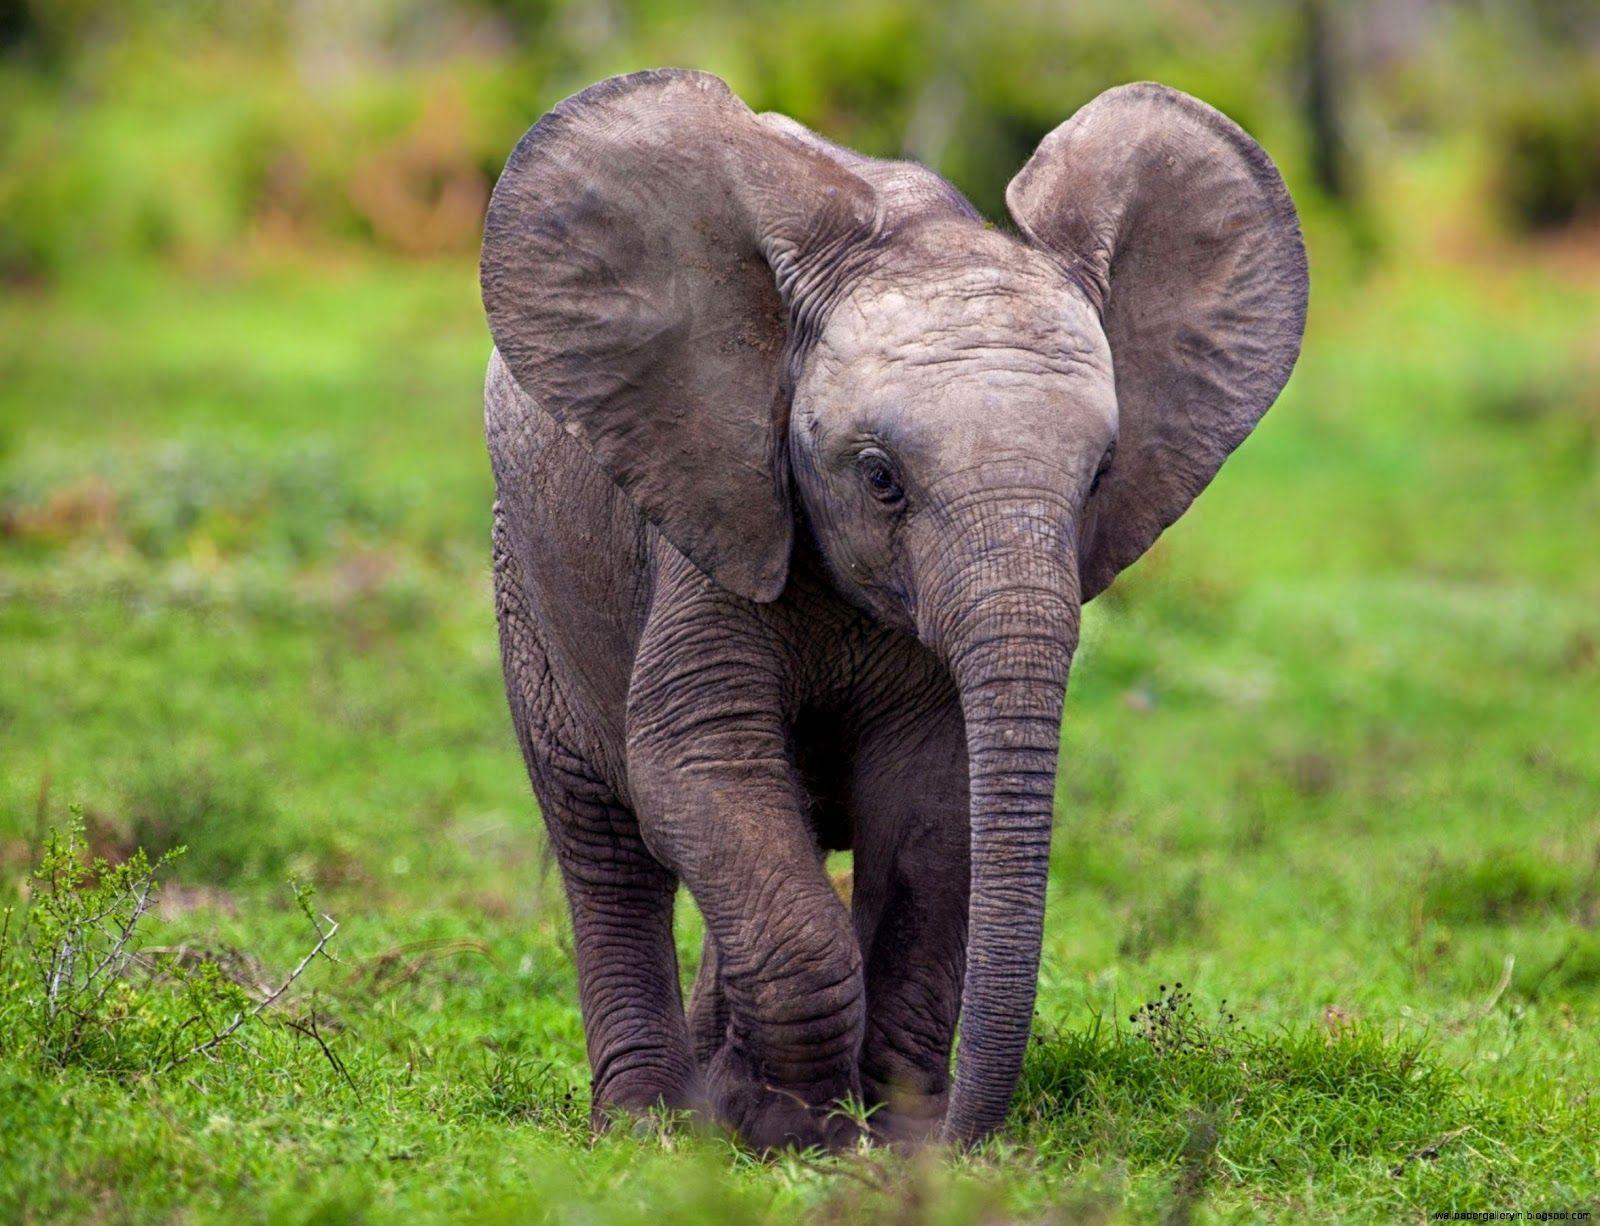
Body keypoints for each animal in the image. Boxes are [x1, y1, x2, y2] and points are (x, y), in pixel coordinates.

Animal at [479, 69, 1307, 1151]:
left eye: (1098, 477)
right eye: (879, 479)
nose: (954, 1131)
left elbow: (930, 803)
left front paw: (873, 1128)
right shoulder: (713, 519)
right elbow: (698, 763)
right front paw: (786, 1125)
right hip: (526, 571)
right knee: (605, 843)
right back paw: (645, 1122)